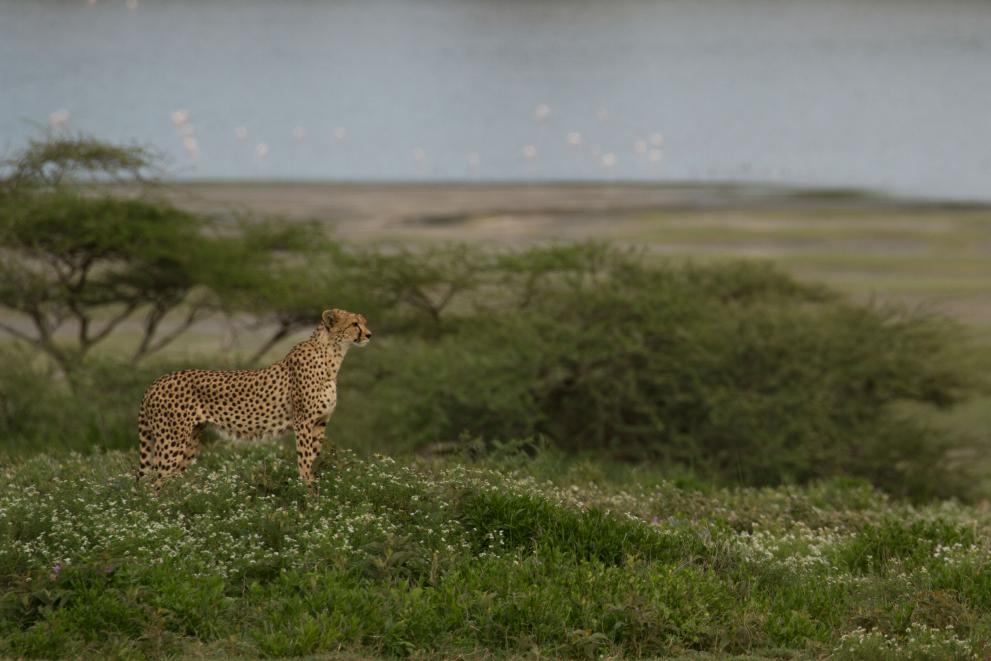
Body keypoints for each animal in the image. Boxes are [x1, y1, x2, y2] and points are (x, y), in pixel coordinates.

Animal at [137, 306, 372, 488]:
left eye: (364, 322)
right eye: (354, 324)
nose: (369, 334)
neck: (332, 356)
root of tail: (156, 382)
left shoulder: (320, 422)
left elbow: (313, 457)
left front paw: (316, 492)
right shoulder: (303, 421)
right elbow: (305, 461)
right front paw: (309, 494)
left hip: (190, 439)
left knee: (166, 480)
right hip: (172, 439)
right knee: (153, 482)